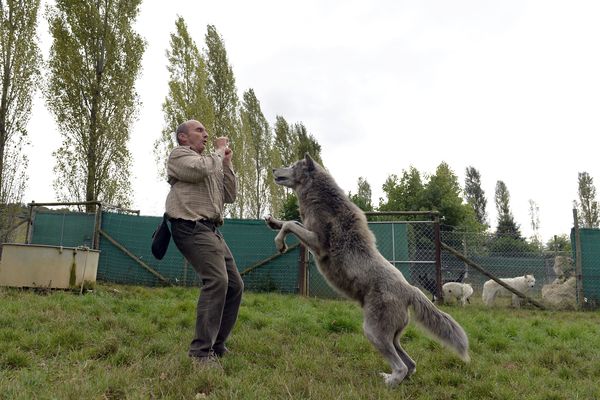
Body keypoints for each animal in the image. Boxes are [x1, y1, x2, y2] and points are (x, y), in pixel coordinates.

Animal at [266, 155, 468, 386]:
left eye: (292, 165)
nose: (273, 169)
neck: (323, 200)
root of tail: (410, 289)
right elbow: (291, 221)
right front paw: (273, 222)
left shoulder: (318, 243)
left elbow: (290, 224)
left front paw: (279, 242)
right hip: (392, 337)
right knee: (411, 365)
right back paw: (389, 378)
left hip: (373, 333)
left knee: (401, 367)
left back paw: (388, 383)